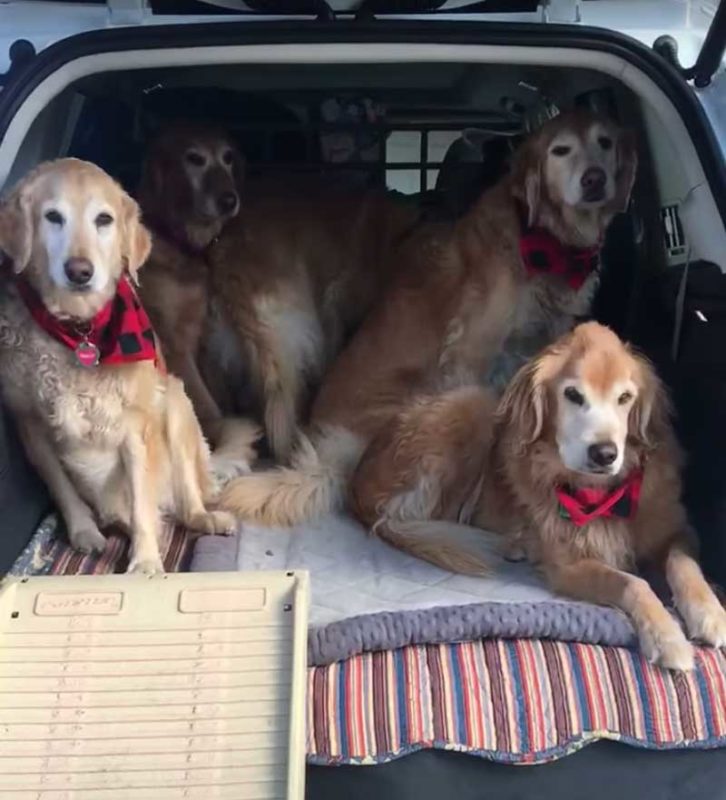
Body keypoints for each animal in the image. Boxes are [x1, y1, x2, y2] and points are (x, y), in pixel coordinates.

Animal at [0, 161, 239, 576]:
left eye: (103, 219)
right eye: (53, 217)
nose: (80, 271)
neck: (79, 331)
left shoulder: (134, 427)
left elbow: (142, 502)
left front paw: (145, 562)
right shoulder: (30, 427)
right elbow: (63, 489)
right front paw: (84, 533)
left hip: (175, 401)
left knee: (186, 501)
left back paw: (203, 517)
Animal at [352, 322, 726, 672]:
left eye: (625, 398)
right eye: (573, 394)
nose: (605, 454)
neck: (602, 494)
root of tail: (358, 484)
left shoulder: (676, 530)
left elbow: (685, 565)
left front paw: (711, 613)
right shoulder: (568, 566)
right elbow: (633, 583)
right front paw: (667, 637)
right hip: (472, 407)